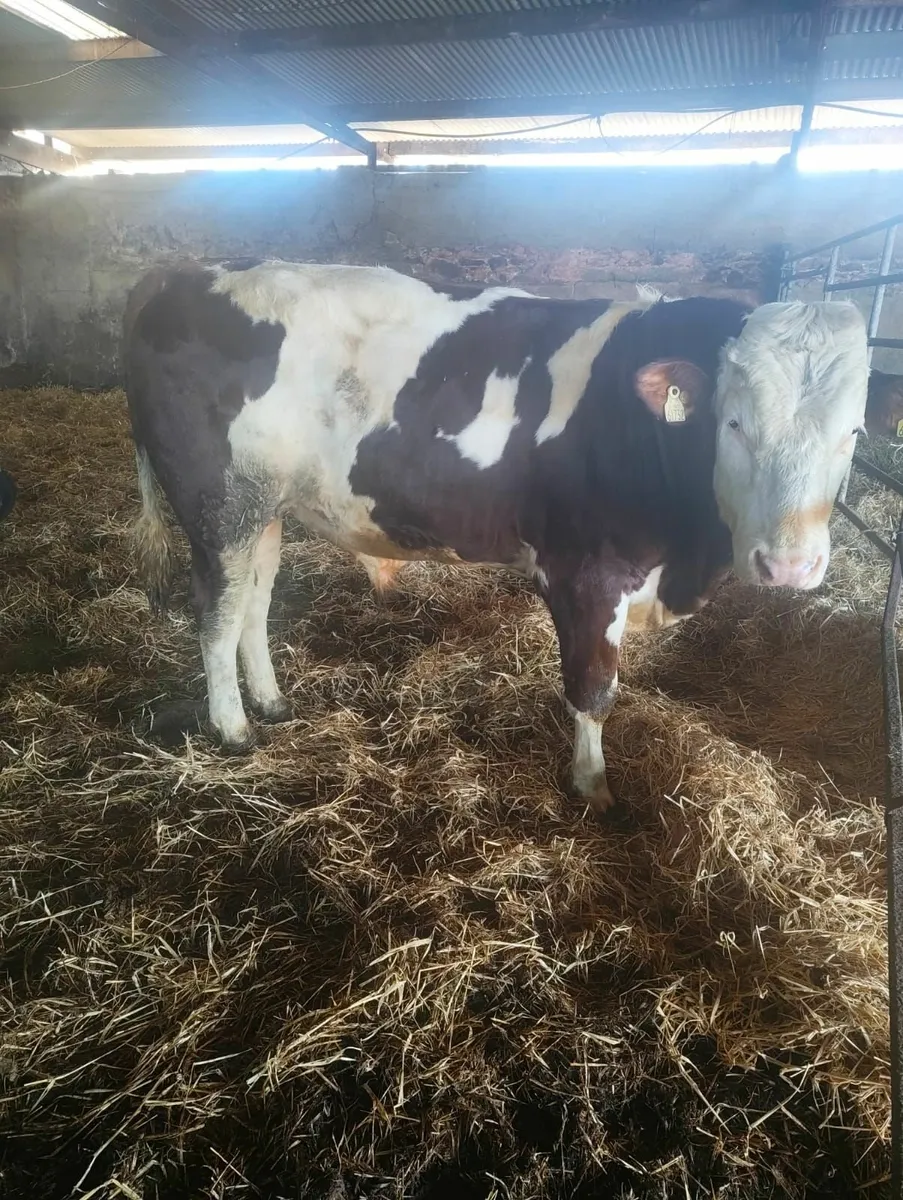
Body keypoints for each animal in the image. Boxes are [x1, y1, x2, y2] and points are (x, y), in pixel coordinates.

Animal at [123, 261, 869, 812]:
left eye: (853, 432)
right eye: (734, 423)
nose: (789, 565)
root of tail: (181, 274)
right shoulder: (584, 575)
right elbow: (593, 689)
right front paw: (592, 786)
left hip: (263, 507)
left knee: (255, 600)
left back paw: (272, 702)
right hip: (217, 507)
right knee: (217, 614)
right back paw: (233, 729)